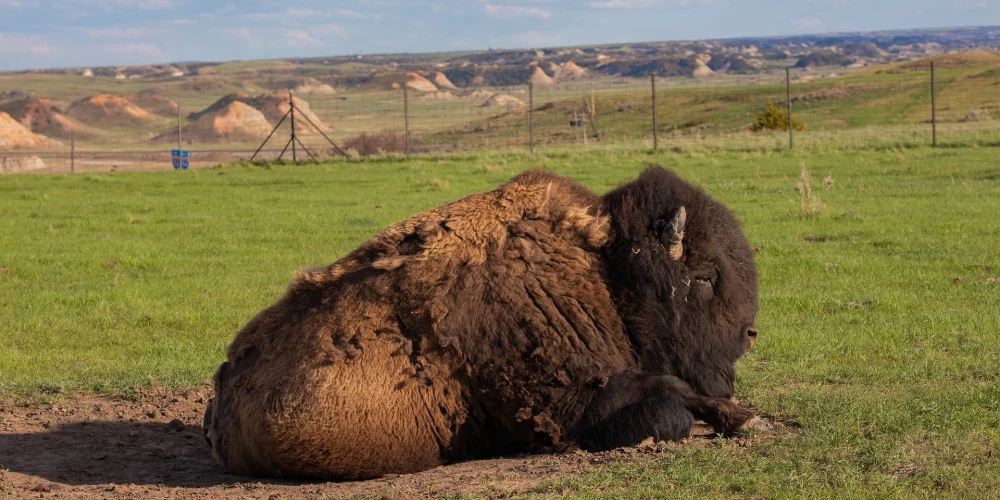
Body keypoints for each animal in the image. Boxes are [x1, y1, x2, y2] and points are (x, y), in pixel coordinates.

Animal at [203, 166, 764, 478]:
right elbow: (668, 403)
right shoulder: (574, 401)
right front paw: (741, 417)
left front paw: (741, 416)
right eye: (706, 276)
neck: (602, 265)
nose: (750, 336)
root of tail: (222, 395)